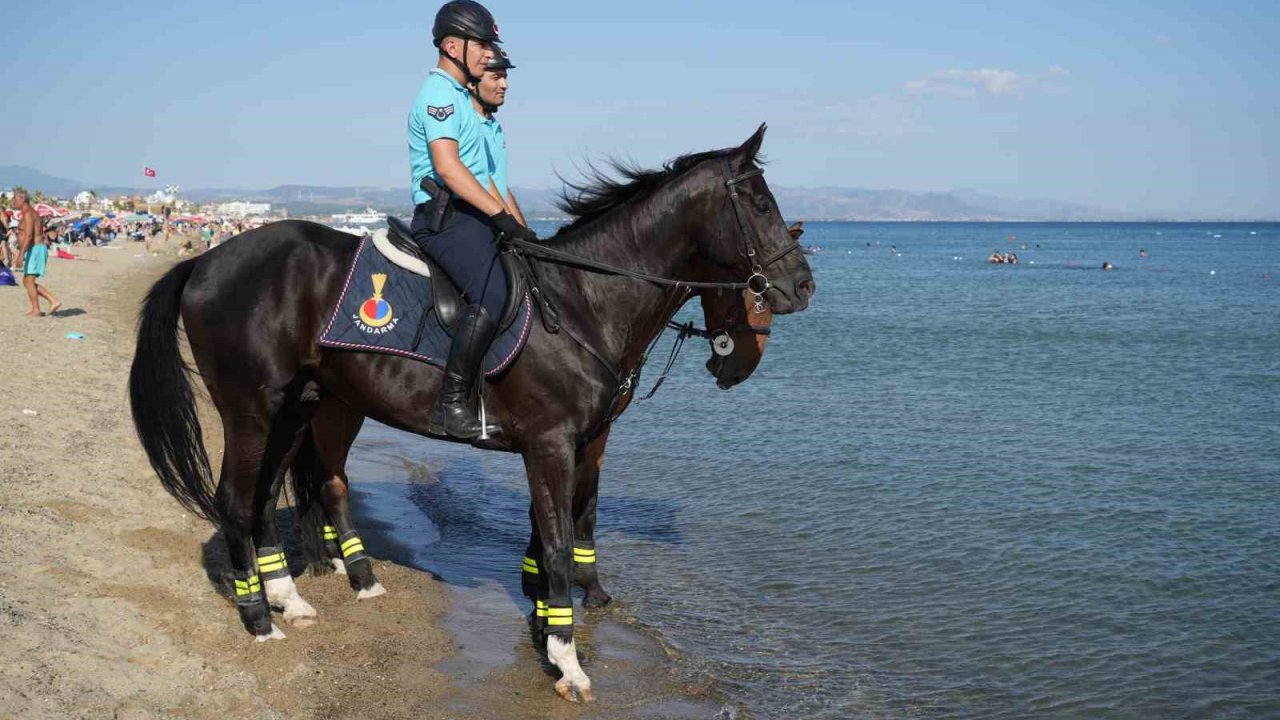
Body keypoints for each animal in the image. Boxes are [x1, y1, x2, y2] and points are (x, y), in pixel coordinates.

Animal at [129, 124, 808, 702]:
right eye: (759, 202)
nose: (802, 286)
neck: (584, 301)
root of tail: (205, 260)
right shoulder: (550, 445)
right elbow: (558, 543)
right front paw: (567, 660)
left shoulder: (579, 442)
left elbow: (560, 529)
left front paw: (547, 622)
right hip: (252, 408)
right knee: (237, 498)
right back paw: (257, 619)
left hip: (302, 406)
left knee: (273, 492)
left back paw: (292, 597)